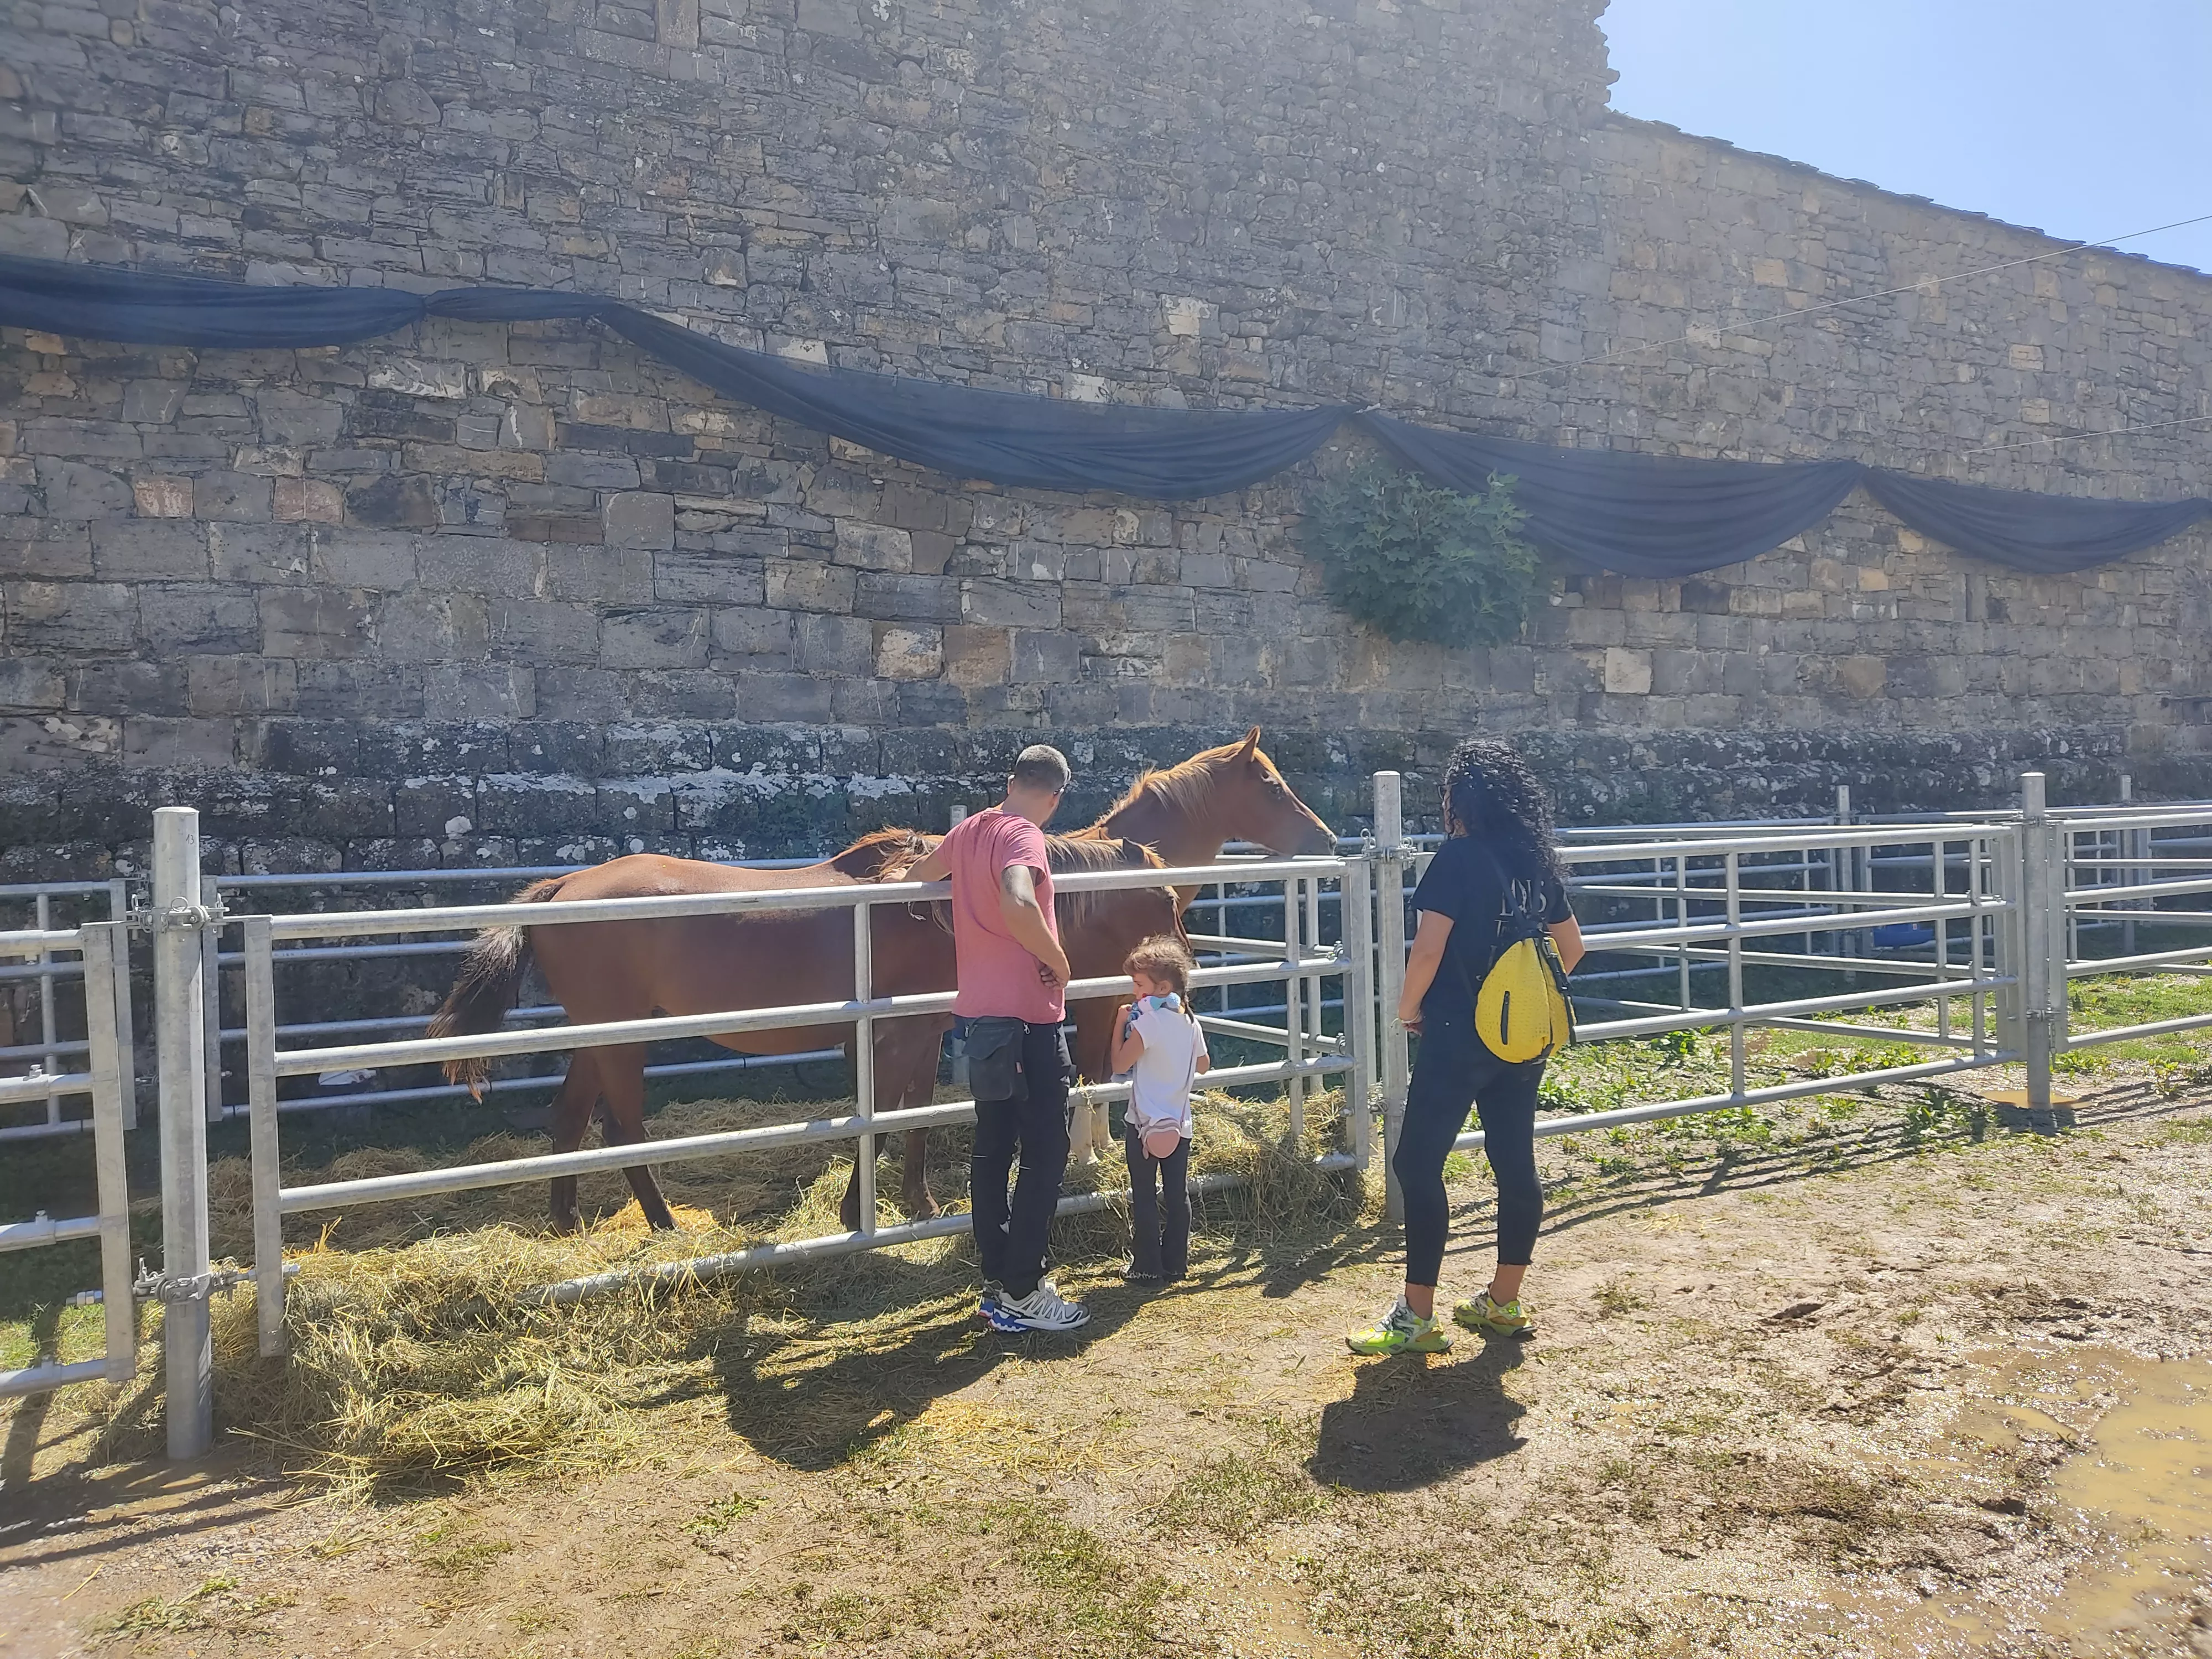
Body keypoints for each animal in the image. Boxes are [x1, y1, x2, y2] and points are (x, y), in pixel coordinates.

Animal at [429, 729, 1334, 1232]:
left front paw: (908, 1202)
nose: (1326, 836)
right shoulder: (941, 1023)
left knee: (569, 1118)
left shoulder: (928, 1028)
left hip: (595, 1035)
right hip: (623, 1039)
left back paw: (565, 1223)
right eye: (1271, 783)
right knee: (622, 1126)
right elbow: (916, 1109)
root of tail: (564, 887)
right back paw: (661, 1223)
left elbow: (911, 1111)